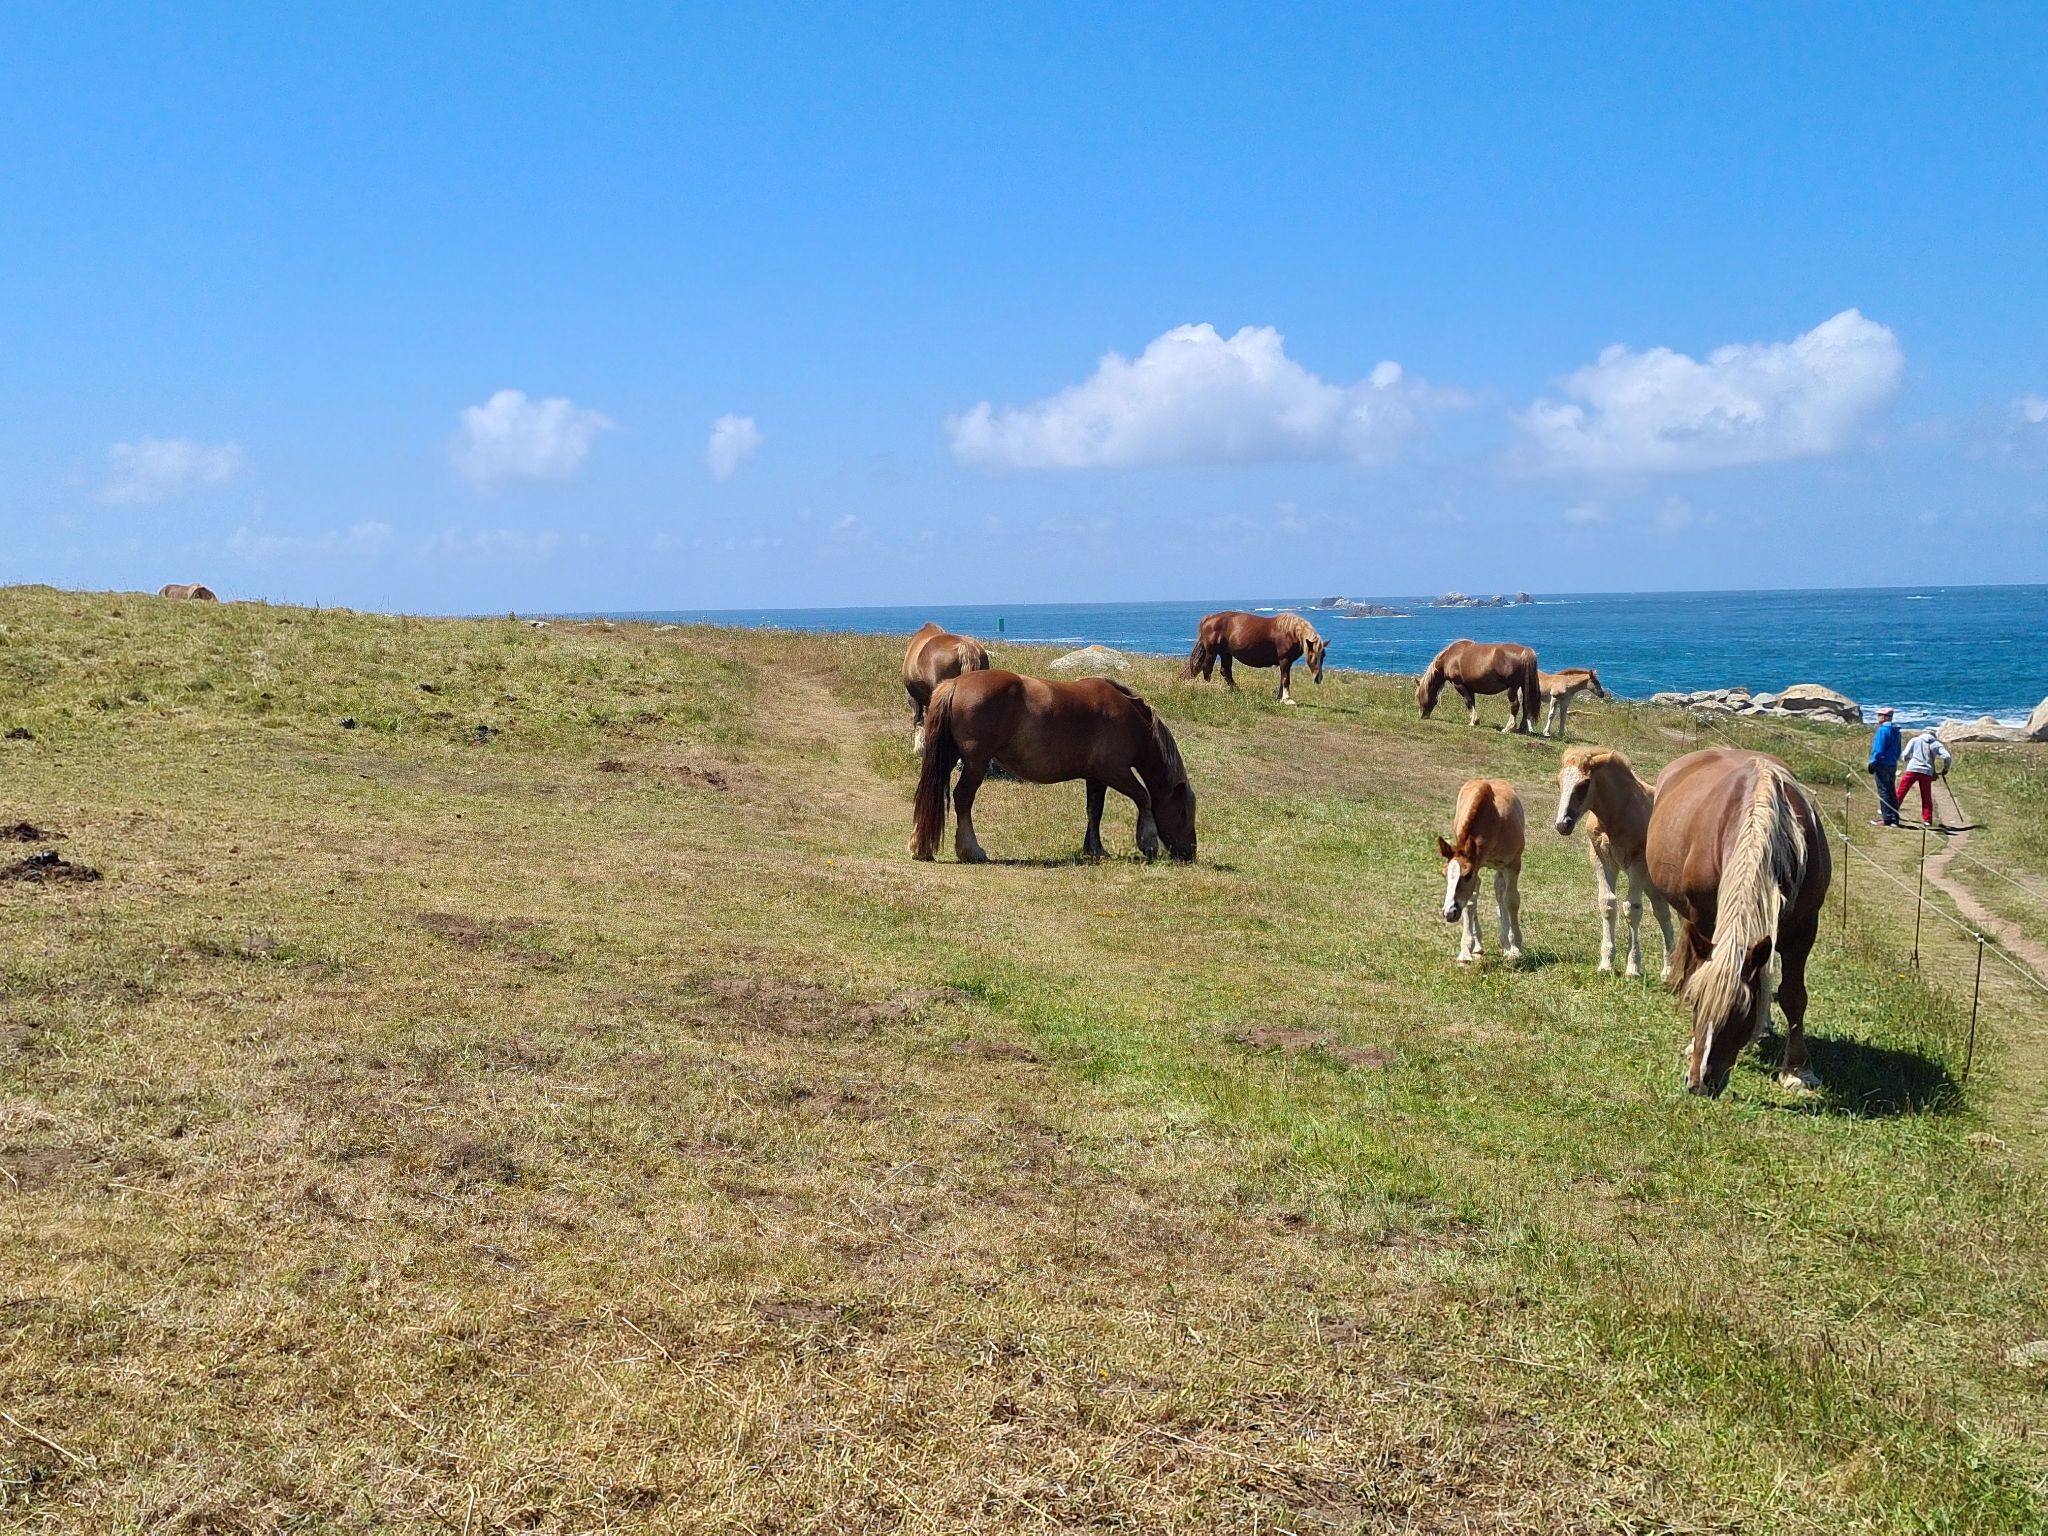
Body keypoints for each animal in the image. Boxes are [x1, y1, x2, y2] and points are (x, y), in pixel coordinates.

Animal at [910, 670, 1196, 864]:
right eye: (1184, 812)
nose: (1190, 852)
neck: (1129, 718)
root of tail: (955, 683)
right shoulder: (1115, 772)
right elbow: (1144, 798)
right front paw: (1148, 843)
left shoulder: (1096, 777)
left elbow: (1094, 811)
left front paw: (1094, 849)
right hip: (975, 764)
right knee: (963, 798)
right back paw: (972, 850)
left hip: (949, 758)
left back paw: (919, 846)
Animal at [1185, 611, 1327, 704]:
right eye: (1312, 654)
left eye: (1323, 655)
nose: (1318, 678)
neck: (1289, 631)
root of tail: (1208, 618)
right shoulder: (1285, 660)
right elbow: (1286, 679)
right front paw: (1288, 699)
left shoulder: (1286, 662)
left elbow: (1282, 679)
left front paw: (1280, 697)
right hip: (1212, 651)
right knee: (1207, 668)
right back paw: (1209, 687)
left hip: (1225, 653)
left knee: (1225, 672)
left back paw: (1237, 691)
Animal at [1434, 778, 1525, 964]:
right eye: (1444, 874)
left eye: (1467, 875)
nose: (1449, 913)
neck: (1494, 819)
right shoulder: (1476, 865)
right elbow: (1470, 902)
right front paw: (1465, 951)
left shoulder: (1512, 865)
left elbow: (1511, 901)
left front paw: (1515, 948)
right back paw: (1477, 946)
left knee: (1501, 894)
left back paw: (1506, 944)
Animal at [1553, 745, 1675, 979]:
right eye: (1559, 782)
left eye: (1584, 784)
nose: (1563, 824)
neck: (1618, 813)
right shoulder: (1601, 859)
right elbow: (1608, 903)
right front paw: (1606, 963)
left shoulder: (1637, 862)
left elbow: (1632, 908)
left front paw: (1633, 967)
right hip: (1651, 883)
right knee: (1663, 913)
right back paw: (1668, 970)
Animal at [1645, 748, 1831, 1097]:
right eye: (1695, 1003)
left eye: (1740, 1013)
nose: (1698, 1082)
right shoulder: (1704, 918)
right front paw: (1692, 1043)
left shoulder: (1803, 928)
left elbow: (1793, 996)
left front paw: (1798, 1070)